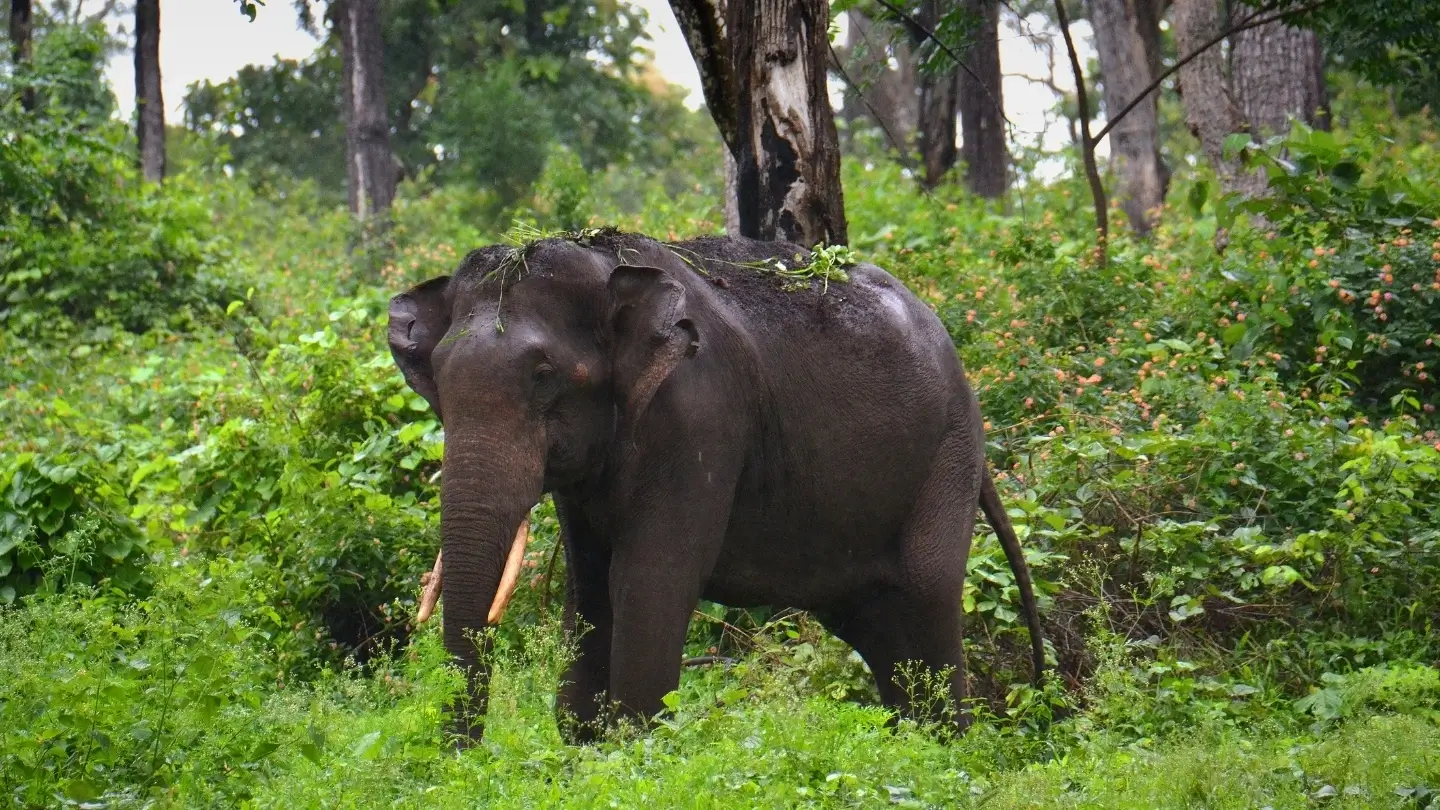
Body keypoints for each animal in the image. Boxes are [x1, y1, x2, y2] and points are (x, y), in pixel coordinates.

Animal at [387, 229, 1044, 745]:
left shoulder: (699, 416)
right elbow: (590, 585)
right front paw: (580, 756)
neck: (604, 266)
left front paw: (631, 756)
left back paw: (947, 753)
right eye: (436, 381)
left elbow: (651, 578)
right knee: (880, 625)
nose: (464, 756)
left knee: (926, 602)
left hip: (946, 460)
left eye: (544, 376)